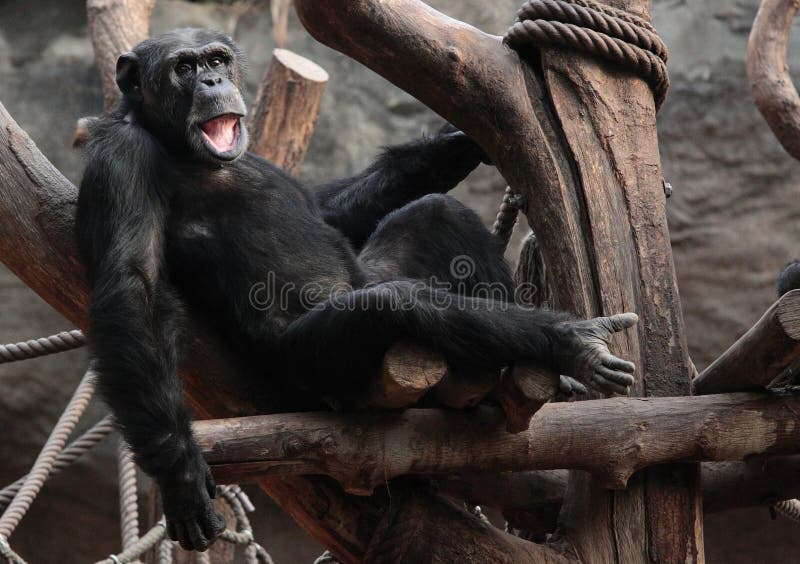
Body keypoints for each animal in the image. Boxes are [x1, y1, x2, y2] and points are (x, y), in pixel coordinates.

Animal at [75, 27, 636, 552]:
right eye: (183, 69)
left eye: (215, 61)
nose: (212, 82)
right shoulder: (119, 162)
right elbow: (134, 286)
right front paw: (181, 474)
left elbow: (327, 212)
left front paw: (456, 142)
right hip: (312, 365)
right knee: (395, 304)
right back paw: (568, 344)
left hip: (375, 270)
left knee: (437, 214)